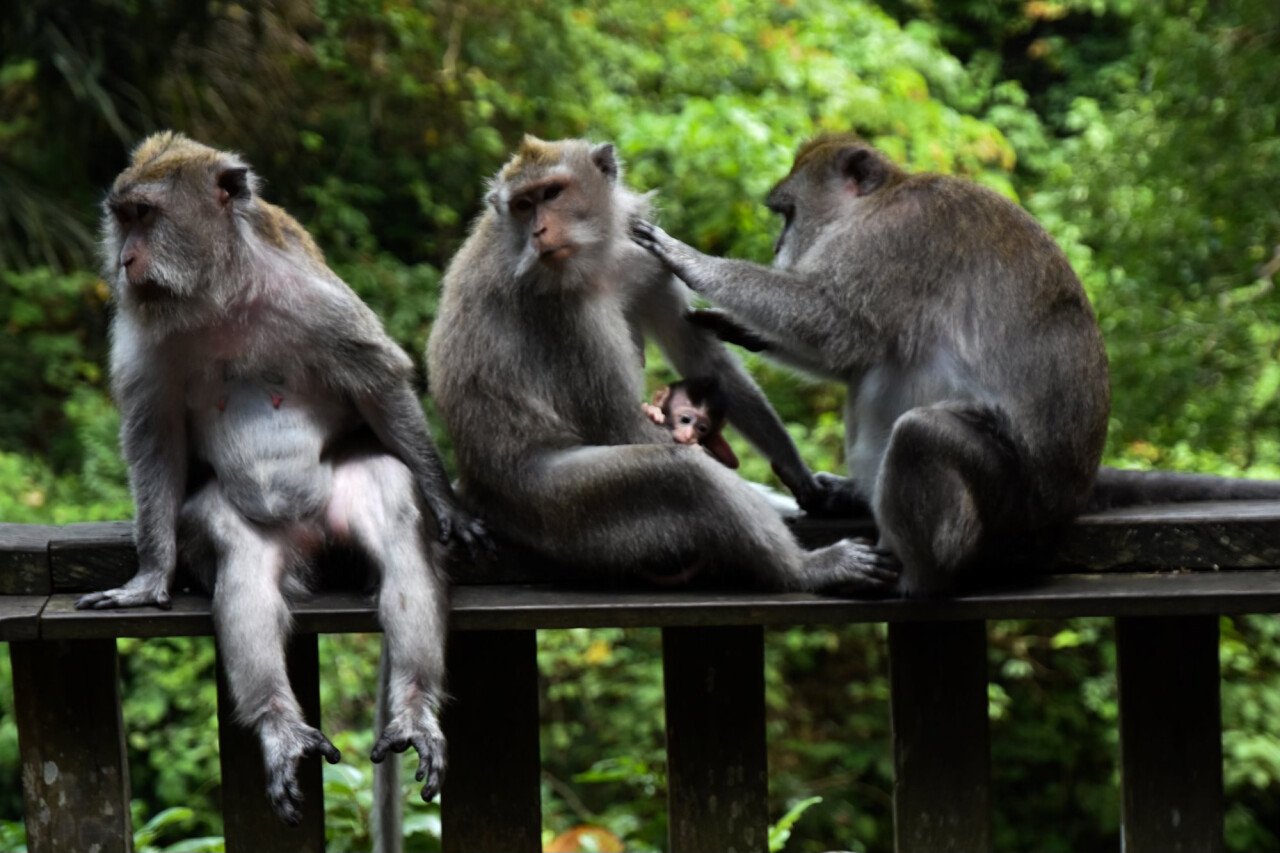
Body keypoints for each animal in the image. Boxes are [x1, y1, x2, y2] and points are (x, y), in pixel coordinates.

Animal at [75, 132, 488, 823]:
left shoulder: (314, 297)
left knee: (394, 511)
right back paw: (279, 724)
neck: (219, 294)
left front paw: (447, 500)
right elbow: (153, 438)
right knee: (237, 552)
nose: (126, 259)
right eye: (123, 218)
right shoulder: (143, 332)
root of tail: (313, 535)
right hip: (251, 528)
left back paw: (413, 707)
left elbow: (379, 381)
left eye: (145, 216)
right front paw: (150, 574)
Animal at [426, 135, 898, 594]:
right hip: (552, 506)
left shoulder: (643, 260)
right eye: (524, 205)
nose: (539, 230)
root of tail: (479, 488)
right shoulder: (562, 306)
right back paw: (805, 570)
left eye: (551, 193)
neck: (599, 256)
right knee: (682, 474)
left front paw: (798, 474)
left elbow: (705, 362)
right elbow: (618, 422)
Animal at [632, 133, 1280, 597]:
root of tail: (1073, 492)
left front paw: (692, 259)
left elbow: (838, 328)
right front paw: (739, 326)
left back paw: (920, 576)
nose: (775, 248)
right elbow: (849, 351)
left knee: (923, 432)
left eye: (787, 214)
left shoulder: (893, 240)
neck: (880, 201)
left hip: (1012, 499)